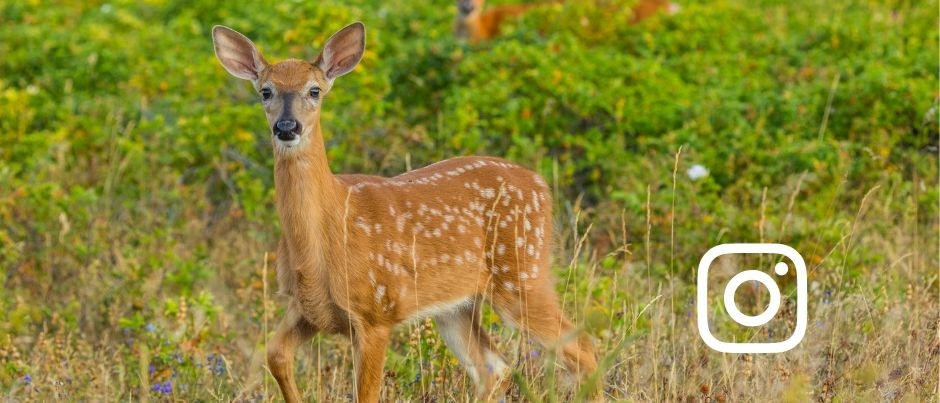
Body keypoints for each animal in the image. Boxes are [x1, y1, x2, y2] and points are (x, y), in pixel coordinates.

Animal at [213, 22, 600, 403]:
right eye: (265, 92)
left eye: (314, 91)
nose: (287, 127)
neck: (323, 238)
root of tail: (542, 185)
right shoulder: (306, 308)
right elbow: (275, 355)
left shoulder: (376, 311)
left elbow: (366, 394)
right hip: (456, 305)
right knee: (495, 367)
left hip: (522, 273)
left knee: (583, 350)